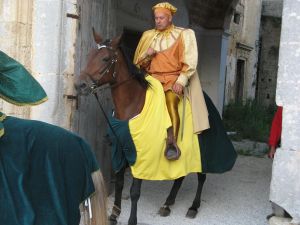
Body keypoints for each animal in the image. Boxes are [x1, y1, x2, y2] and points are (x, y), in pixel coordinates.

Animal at [75, 30, 237, 225]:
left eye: (106, 58)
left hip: (203, 153)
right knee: (180, 176)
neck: (133, 105)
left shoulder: (141, 156)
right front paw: (114, 214)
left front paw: (132, 219)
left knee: (201, 177)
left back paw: (193, 207)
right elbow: (120, 184)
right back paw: (168, 203)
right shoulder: (121, 151)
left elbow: (134, 191)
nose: (80, 85)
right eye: (90, 55)